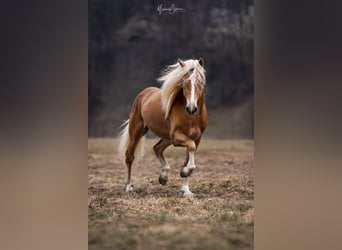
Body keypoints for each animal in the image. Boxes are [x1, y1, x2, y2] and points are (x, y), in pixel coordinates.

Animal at [117, 57, 208, 196]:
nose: (191, 108)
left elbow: (188, 159)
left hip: (166, 137)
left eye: (200, 81)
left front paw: (186, 190)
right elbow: (190, 155)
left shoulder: (196, 139)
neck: (192, 117)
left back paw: (163, 177)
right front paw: (183, 172)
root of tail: (144, 93)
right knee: (129, 157)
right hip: (137, 132)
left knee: (157, 148)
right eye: (184, 81)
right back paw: (128, 187)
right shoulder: (177, 137)